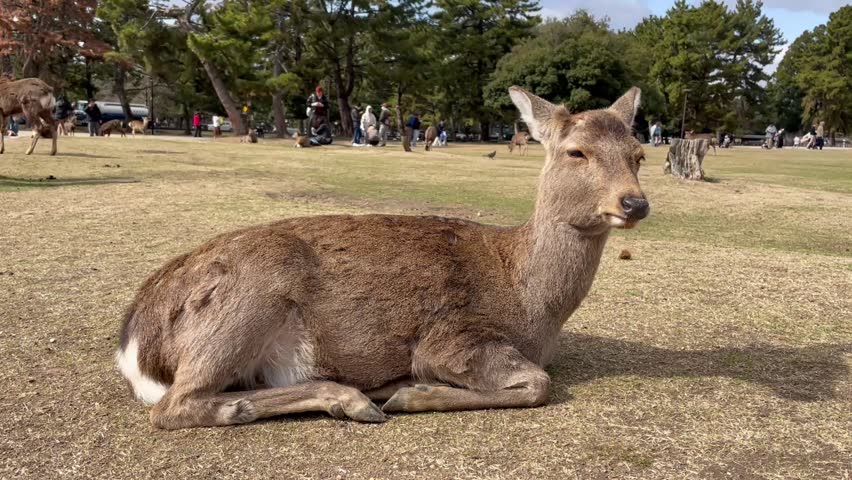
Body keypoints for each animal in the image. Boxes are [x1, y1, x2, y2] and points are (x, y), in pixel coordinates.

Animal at [116, 86, 650, 430]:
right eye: (576, 152)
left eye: (638, 152)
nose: (634, 203)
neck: (534, 305)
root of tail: (134, 343)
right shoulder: (453, 337)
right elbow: (539, 384)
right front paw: (415, 393)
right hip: (248, 299)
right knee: (175, 407)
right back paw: (356, 399)